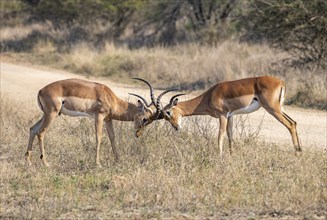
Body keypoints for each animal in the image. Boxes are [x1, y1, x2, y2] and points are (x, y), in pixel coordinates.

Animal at [25, 78, 159, 168]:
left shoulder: (108, 119)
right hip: (51, 114)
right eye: (145, 119)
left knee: (32, 129)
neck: (110, 98)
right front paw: (98, 163)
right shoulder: (98, 117)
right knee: (41, 132)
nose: (138, 134)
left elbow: (112, 137)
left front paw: (118, 160)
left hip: (47, 114)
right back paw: (46, 163)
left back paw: (29, 161)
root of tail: (41, 91)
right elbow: (98, 137)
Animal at [154, 75, 302, 156]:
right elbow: (230, 135)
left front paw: (219, 156)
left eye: (168, 112)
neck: (209, 96)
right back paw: (300, 151)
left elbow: (220, 135)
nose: (176, 127)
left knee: (289, 124)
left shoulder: (223, 115)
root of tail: (281, 82)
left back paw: (296, 154)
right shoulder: (231, 116)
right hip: (279, 108)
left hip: (273, 109)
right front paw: (231, 155)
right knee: (294, 122)